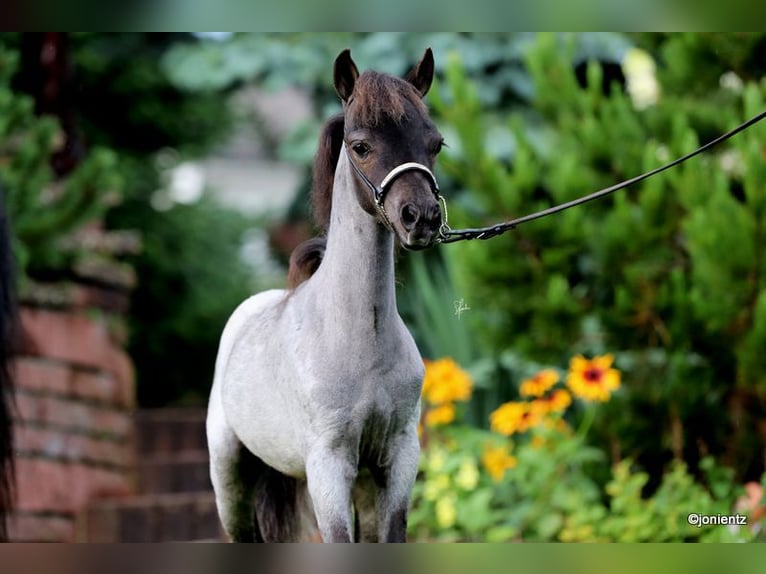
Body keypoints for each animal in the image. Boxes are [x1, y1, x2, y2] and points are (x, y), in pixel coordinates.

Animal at [207, 50, 444, 544]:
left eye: (436, 144)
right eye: (360, 146)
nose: (422, 218)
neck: (359, 342)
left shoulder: (396, 461)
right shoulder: (328, 467)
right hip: (230, 476)